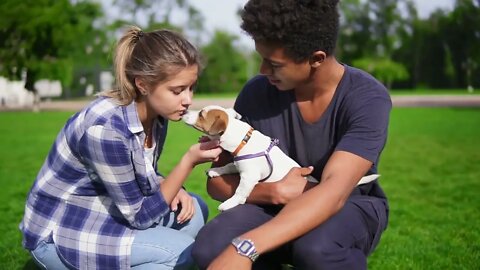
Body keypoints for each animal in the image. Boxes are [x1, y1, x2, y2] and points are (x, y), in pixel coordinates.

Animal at [183, 105, 378, 211]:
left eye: (201, 114)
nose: (184, 111)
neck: (243, 140)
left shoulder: (249, 176)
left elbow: (240, 191)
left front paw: (230, 203)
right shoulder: (240, 165)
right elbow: (228, 166)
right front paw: (216, 171)